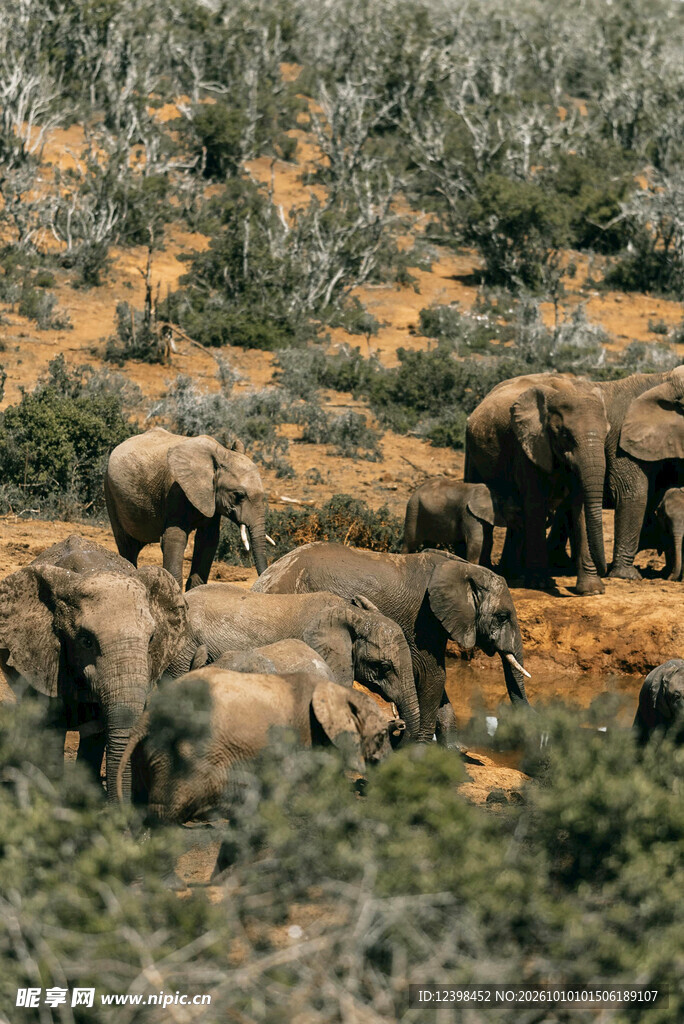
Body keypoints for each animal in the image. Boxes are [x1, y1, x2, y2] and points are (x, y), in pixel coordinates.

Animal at [104, 427, 269, 589]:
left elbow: (208, 539)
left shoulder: (211, 498)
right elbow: (175, 537)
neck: (221, 454)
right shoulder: (175, 490)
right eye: (239, 495)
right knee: (126, 544)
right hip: (110, 493)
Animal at [465, 372, 610, 594]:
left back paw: (511, 573)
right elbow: (535, 503)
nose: (605, 569)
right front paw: (540, 584)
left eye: (607, 434)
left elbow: (581, 505)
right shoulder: (527, 445)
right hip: (471, 451)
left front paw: (592, 590)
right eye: (565, 435)